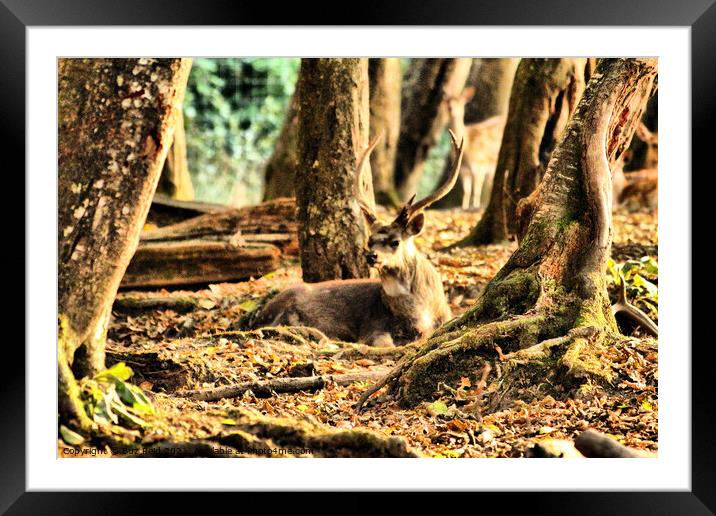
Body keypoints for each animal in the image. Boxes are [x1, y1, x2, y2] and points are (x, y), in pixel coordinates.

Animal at [250, 131, 464, 346]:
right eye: (370, 241)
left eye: (395, 241)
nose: (371, 256)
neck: (422, 313)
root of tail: (258, 316)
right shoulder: (373, 325)